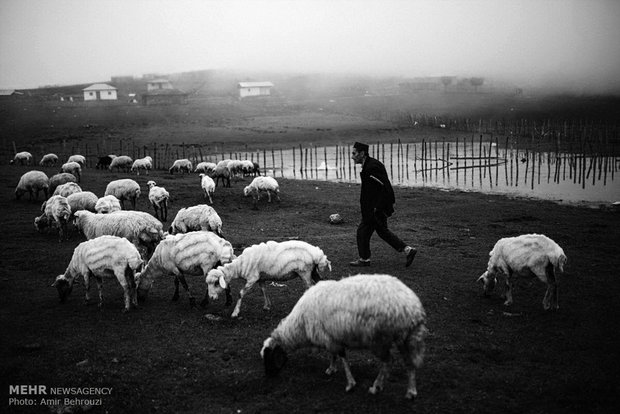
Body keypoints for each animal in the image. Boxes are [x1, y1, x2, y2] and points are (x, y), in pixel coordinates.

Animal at [260, 274, 426, 400]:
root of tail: (413, 308)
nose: (268, 376)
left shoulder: (330, 339)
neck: (299, 325)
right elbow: (333, 355)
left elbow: (342, 357)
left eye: (268, 357)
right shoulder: (329, 337)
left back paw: (376, 386)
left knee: (388, 361)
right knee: (409, 362)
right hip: (405, 338)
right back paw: (411, 391)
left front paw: (350, 383)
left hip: (379, 339)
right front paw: (331, 369)